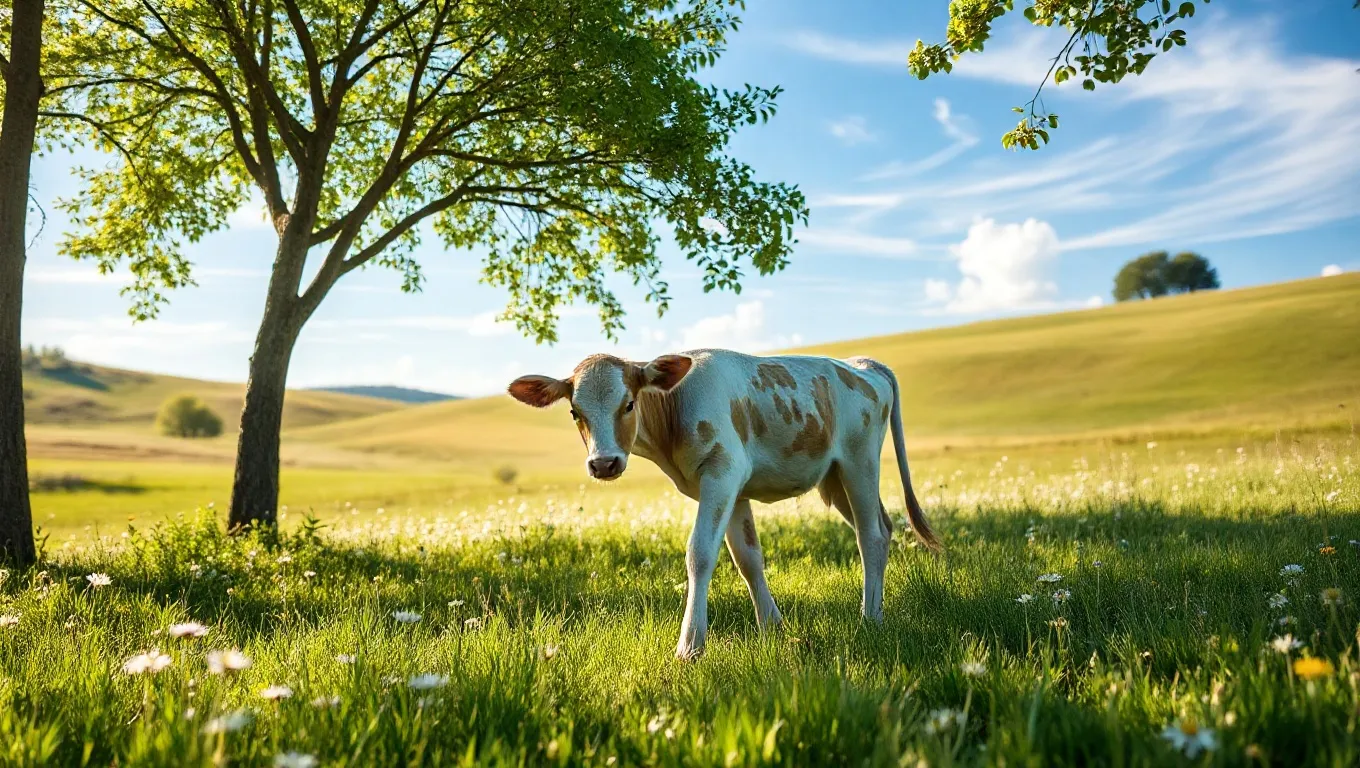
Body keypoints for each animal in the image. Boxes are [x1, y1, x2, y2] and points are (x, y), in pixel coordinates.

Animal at [508, 349, 940, 659]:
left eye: (628, 404)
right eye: (574, 412)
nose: (603, 463)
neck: (675, 408)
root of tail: (861, 364)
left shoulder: (722, 473)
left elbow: (700, 553)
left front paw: (689, 646)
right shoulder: (734, 489)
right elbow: (747, 558)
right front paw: (773, 628)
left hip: (858, 462)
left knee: (871, 536)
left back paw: (871, 618)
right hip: (834, 478)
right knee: (884, 527)